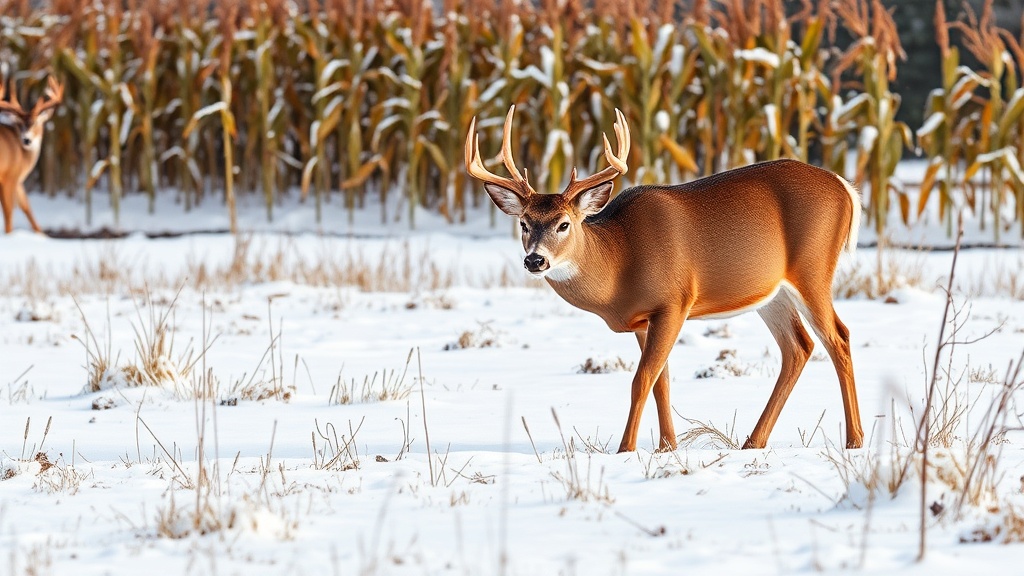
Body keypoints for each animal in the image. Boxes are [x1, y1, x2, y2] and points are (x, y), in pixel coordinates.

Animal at [0, 76, 63, 234]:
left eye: (35, 123)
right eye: (20, 124)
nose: (26, 139)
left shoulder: (17, 181)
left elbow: (26, 206)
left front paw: (41, 234)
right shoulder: (9, 176)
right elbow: (9, 212)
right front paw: (9, 234)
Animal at [466, 106, 864, 453]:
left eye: (564, 223)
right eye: (524, 223)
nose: (535, 260)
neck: (620, 261)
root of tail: (846, 187)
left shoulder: (674, 301)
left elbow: (641, 379)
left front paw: (626, 449)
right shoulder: (645, 319)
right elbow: (662, 382)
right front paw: (667, 447)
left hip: (813, 269)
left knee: (839, 337)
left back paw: (854, 440)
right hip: (772, 293)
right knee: (798, 347)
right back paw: (753, 442)